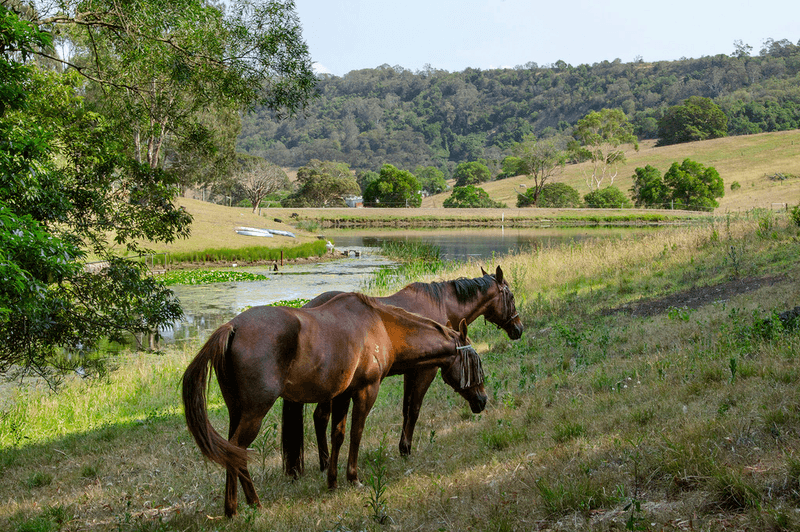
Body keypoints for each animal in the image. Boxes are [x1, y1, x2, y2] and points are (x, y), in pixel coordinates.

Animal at [182, 290, 488, 516]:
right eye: (475, 362)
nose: (482, 400)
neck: (380, 326)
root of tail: (232, 326)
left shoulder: (342, 394)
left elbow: (337, 435)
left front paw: (332, 481)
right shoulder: (366, 391)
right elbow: (355, 434)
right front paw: (352, 477)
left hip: (237, 411)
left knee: (232, 451)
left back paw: (243, 504)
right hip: (254, 413)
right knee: (237, 449)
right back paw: (241, 507)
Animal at [282, 264, 524, 476]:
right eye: (511, 297)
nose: (518, 329)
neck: (442, 306)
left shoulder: (412, 372)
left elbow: (406, 409)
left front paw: (402, 446)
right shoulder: (426, 371)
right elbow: (414, 410)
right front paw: (406, 448)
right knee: (321, 417)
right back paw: (325, 464)